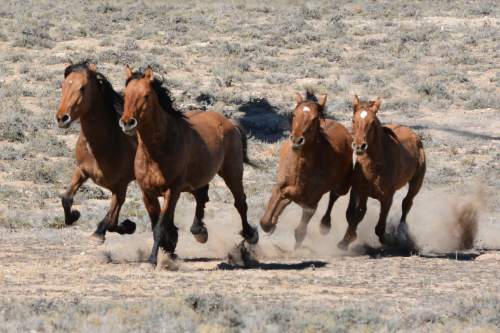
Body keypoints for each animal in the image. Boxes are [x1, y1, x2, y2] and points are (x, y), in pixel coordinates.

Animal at [118, 65, 258, 264]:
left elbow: (160, 227)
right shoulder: (148, 193)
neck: (157, 152)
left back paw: (250, 235)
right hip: (197, 179)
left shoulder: (172, 191)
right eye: (125, 94)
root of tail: (229, 123)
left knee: (240, 203)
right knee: (202, 197)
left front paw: (153, 259)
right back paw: (199, 231)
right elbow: (157, 226)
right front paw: (169, 248)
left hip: (232, 173)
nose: (127, 123)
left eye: (146, 95)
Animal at [260, 92, 354, 248]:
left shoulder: (311, 205)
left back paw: (325, 225)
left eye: (315, 118)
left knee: (334, 196)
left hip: (343, 187)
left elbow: (300, 232)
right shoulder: (279, 187)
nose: (297, 140)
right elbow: (265, 221)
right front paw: (271, 224)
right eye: (294, 114)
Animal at [336, 94, 426, 248]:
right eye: (353, 120)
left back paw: (401, 234)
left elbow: (379, 227)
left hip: (416, 182)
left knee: (407, 204)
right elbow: (354, 214)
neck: (375, 166)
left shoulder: (387, 197)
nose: (359, 146)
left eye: (372, 122)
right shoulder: (359, 190)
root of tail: (414, 135)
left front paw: (388, 240)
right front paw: (346, 240)